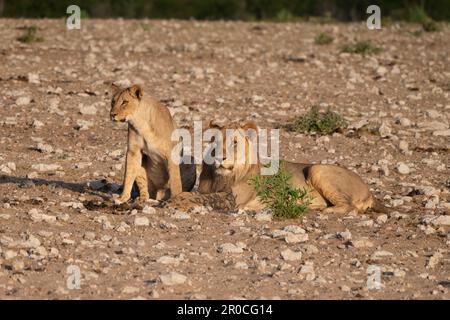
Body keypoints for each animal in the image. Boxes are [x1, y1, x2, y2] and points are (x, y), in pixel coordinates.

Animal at [167, 120, 384, 215]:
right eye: (215, 141)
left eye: (235, 142)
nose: (219, 157)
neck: (221, 176)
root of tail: (369, 190)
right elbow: (200, 195)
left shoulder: (234, 200)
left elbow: (202, 197)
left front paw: (176, 202)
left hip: (317, 169)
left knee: (349, 207)